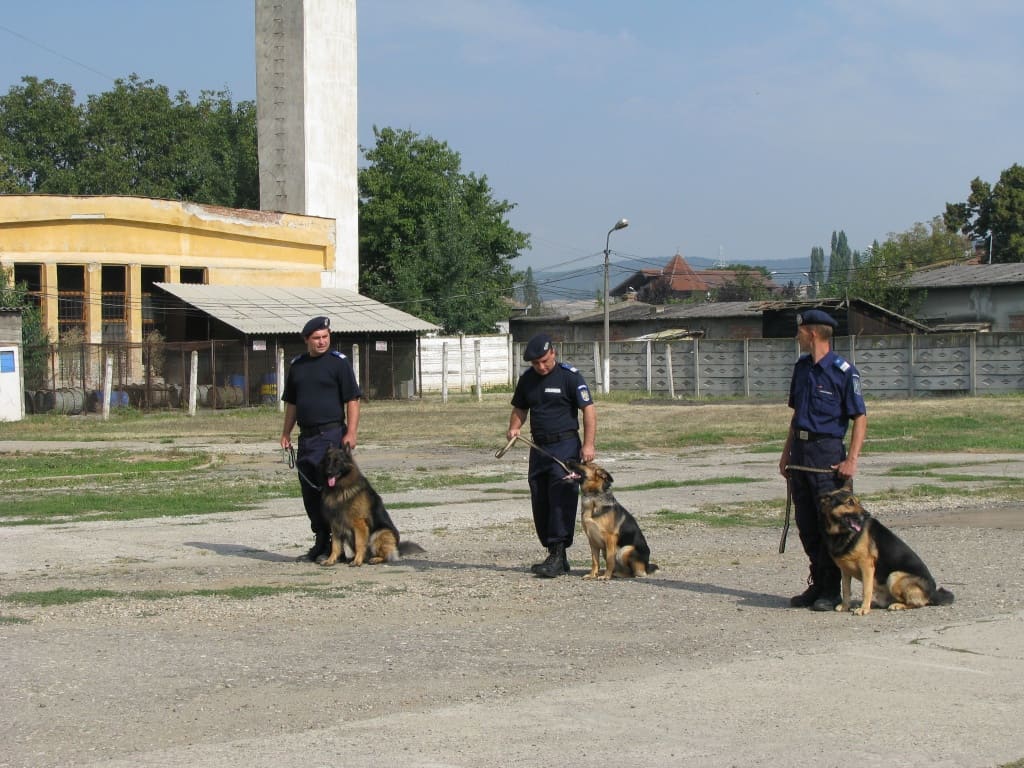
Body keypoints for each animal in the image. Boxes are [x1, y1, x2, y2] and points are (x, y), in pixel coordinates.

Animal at [818, 481, 954, 615]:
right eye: (849, 503)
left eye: (859, 502)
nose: (867, 514)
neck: (841, 533)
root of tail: (933, 593)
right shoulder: (845, 570)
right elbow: (846, 590)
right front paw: (845, 607)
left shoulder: (867, 565)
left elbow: (866, 590)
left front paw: (864, 609)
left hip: (894, 576)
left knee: (917, 603)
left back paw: (897, 605)